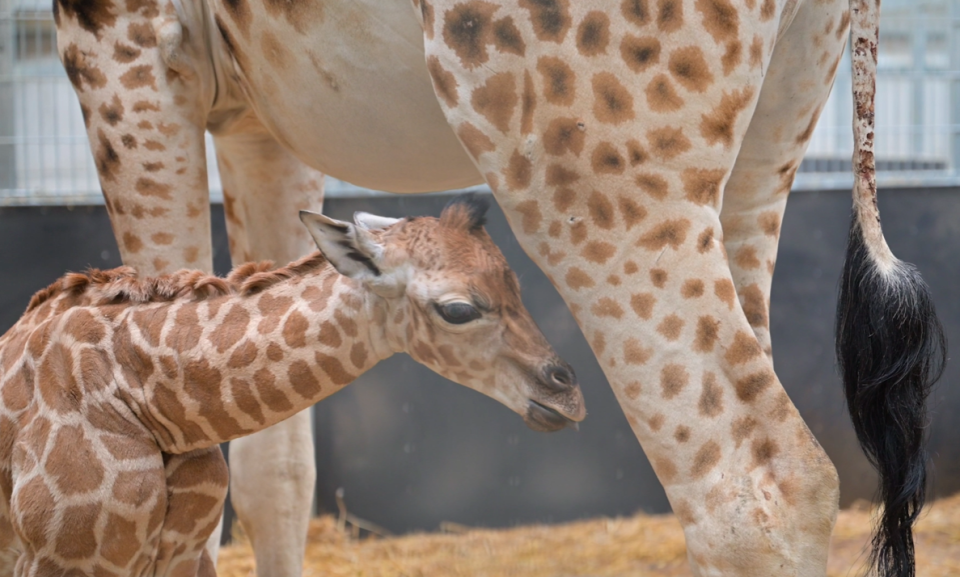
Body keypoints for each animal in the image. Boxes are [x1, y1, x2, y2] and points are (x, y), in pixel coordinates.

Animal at [0, 196, 580, 572]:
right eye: (458, 309)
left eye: (516, 284)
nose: (566, 392)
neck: (152, 400)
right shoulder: (61, 560)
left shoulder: (183, 555)